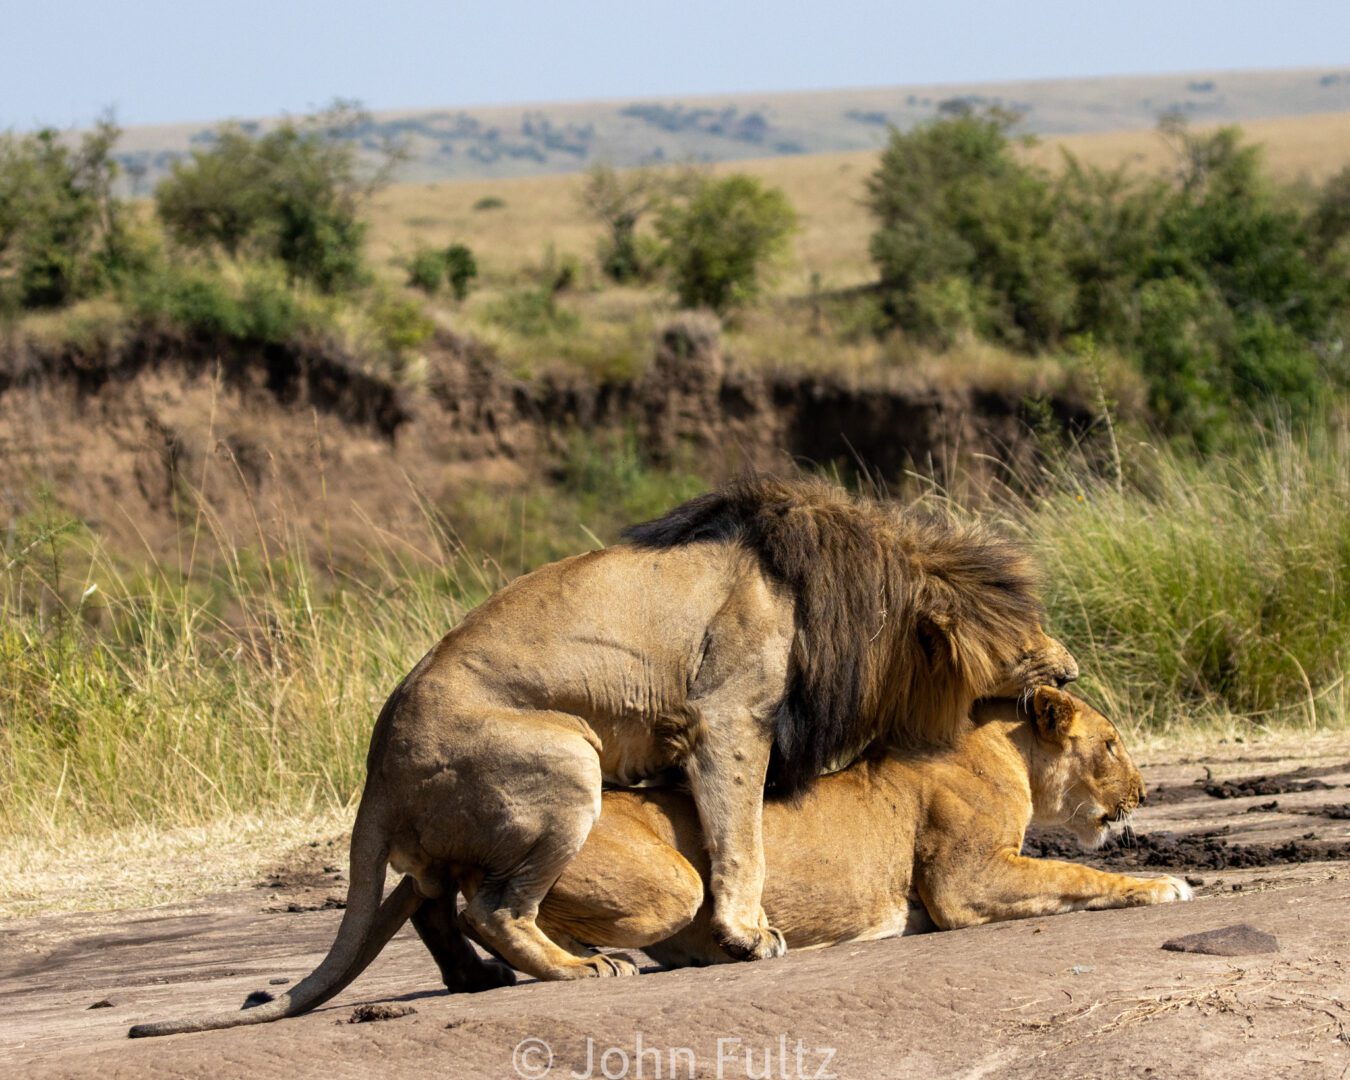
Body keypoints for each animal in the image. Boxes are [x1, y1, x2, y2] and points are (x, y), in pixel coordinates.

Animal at [126, 477, 1074, 1031]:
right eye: (1026, 634)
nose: (1068, 668)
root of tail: (375, 771)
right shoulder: (729, 714)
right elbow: (741, 835)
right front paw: (745, 935)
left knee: (433, 894)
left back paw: (479, 981)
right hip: (564, 760)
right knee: (491, 905)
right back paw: (576, 969)